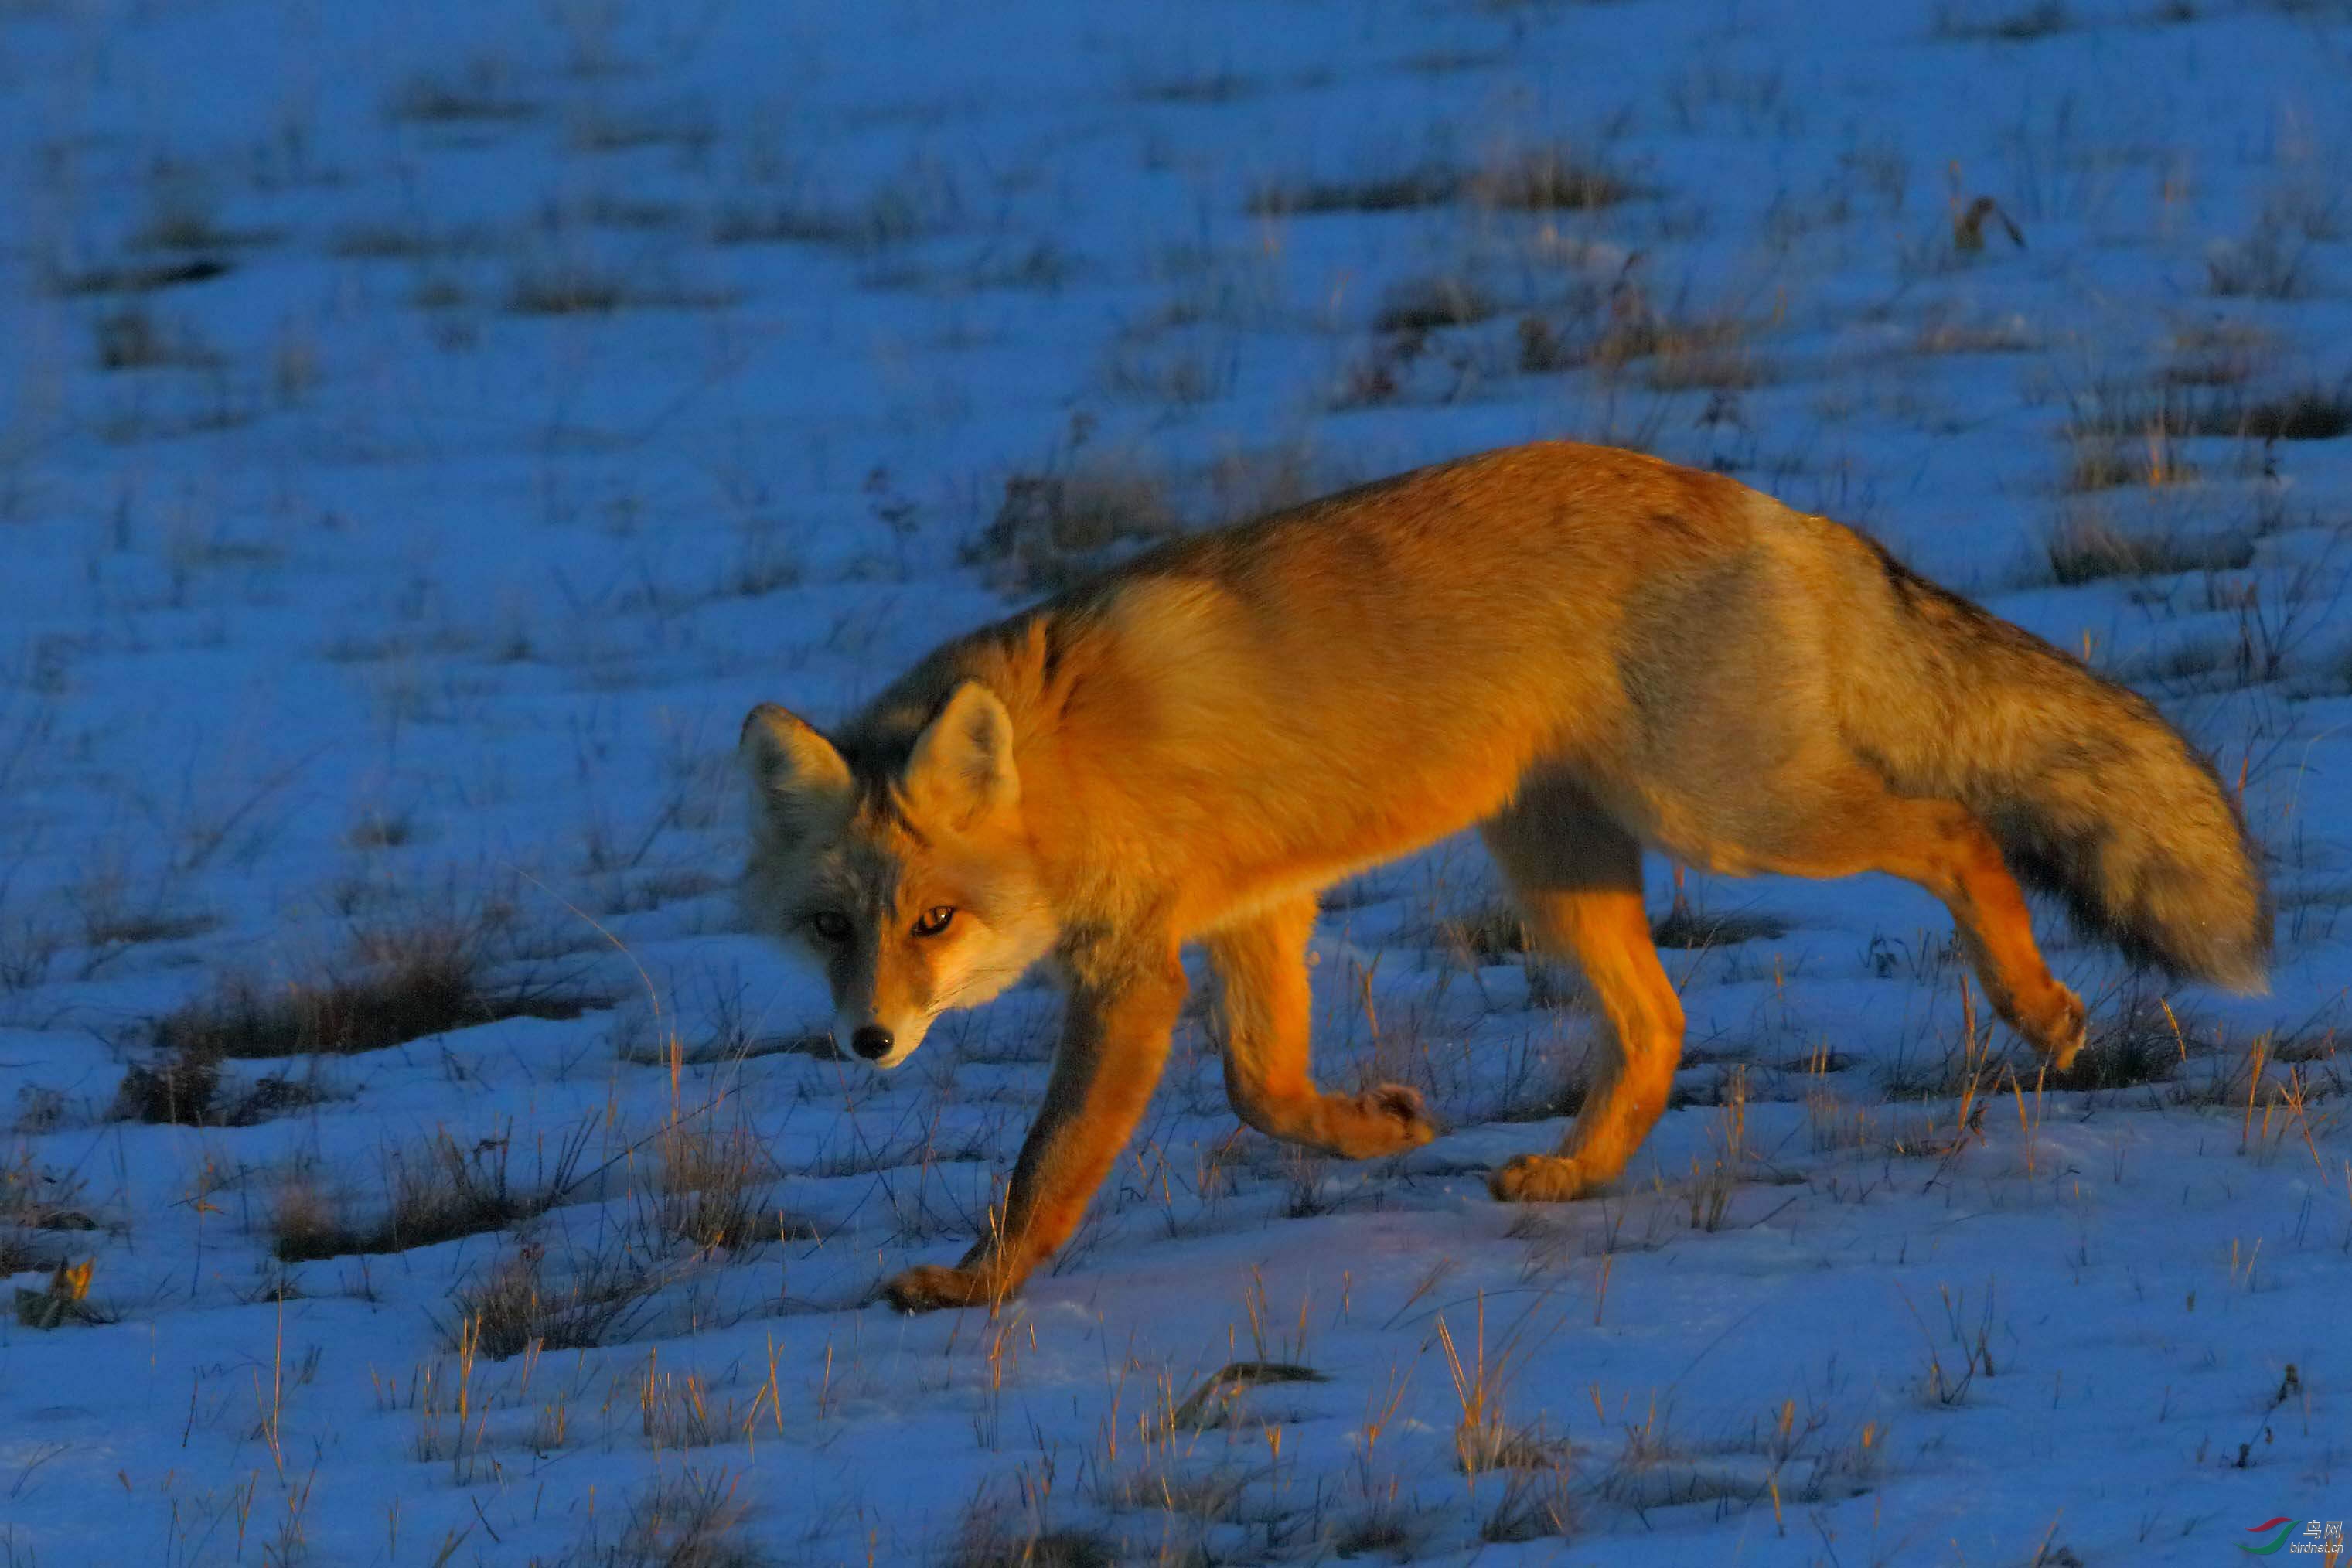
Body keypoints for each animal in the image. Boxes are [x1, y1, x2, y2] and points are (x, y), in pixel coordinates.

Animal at [743, 441, 2267, 1316]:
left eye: (936, 920)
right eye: (831, 927)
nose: (867, 1040)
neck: (1065, 771)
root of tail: (1762, 502)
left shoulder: (1135, 972)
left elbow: (1048, 1163)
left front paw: (978, 1285)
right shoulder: (1254, 912)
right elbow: (1262, 1090)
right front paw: (1378, 1132)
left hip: (1728, 813)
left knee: (1954, 833)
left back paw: (2039, 1010)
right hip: (1559, 859)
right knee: (1660, 1025)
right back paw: (1578, 1172)